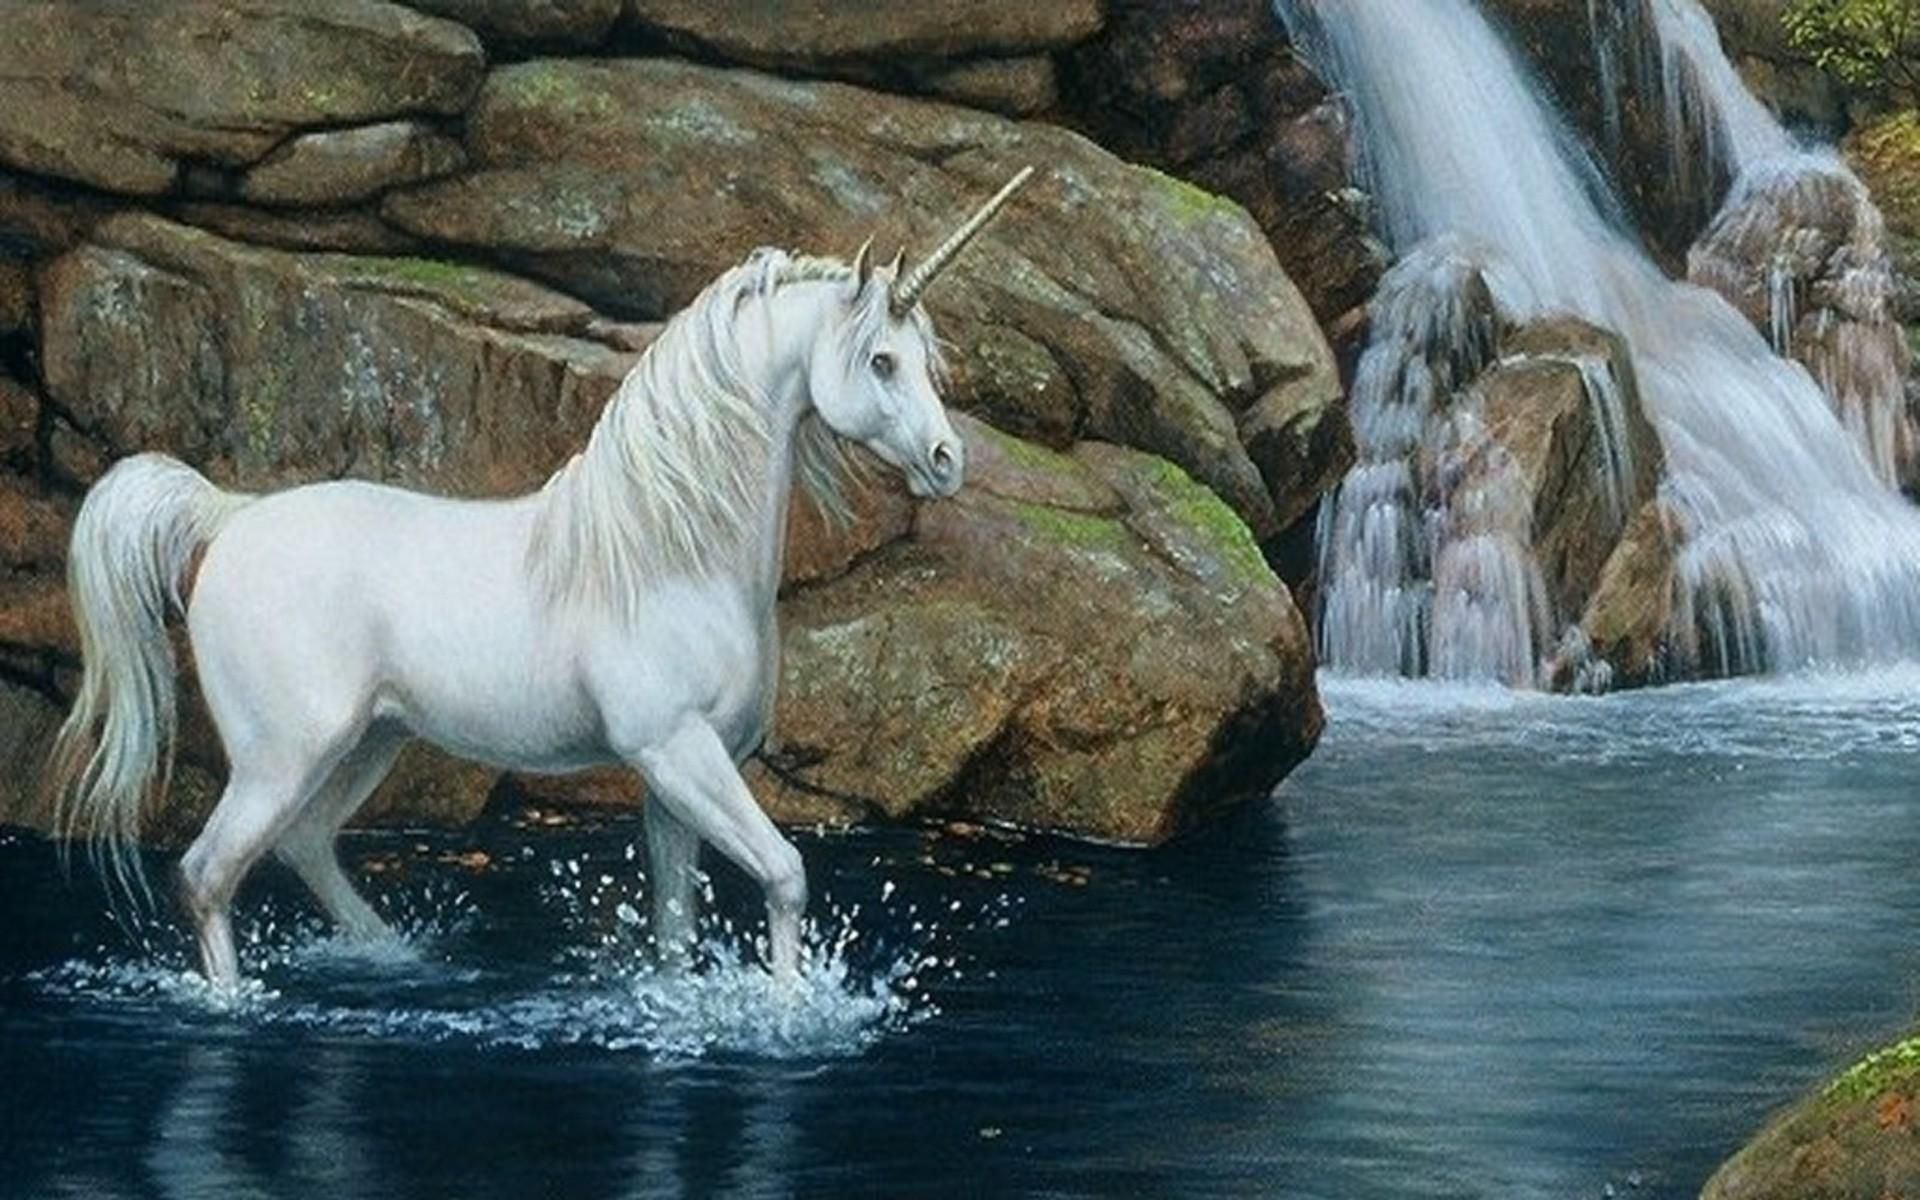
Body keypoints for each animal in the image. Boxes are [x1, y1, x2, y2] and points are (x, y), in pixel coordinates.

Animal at [48, 167, 1035, 991]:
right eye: (880, 361)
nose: (947, 461)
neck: (668, 554)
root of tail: (230, 518)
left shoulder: (671, 779)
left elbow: (676, 924)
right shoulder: (678, 752)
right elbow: (786, 876)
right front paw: (786, 1012)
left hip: (366, 743)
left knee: (305, 846)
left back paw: (396, 960)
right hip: (283, 754)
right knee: (206, 875)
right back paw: (235, 1003)